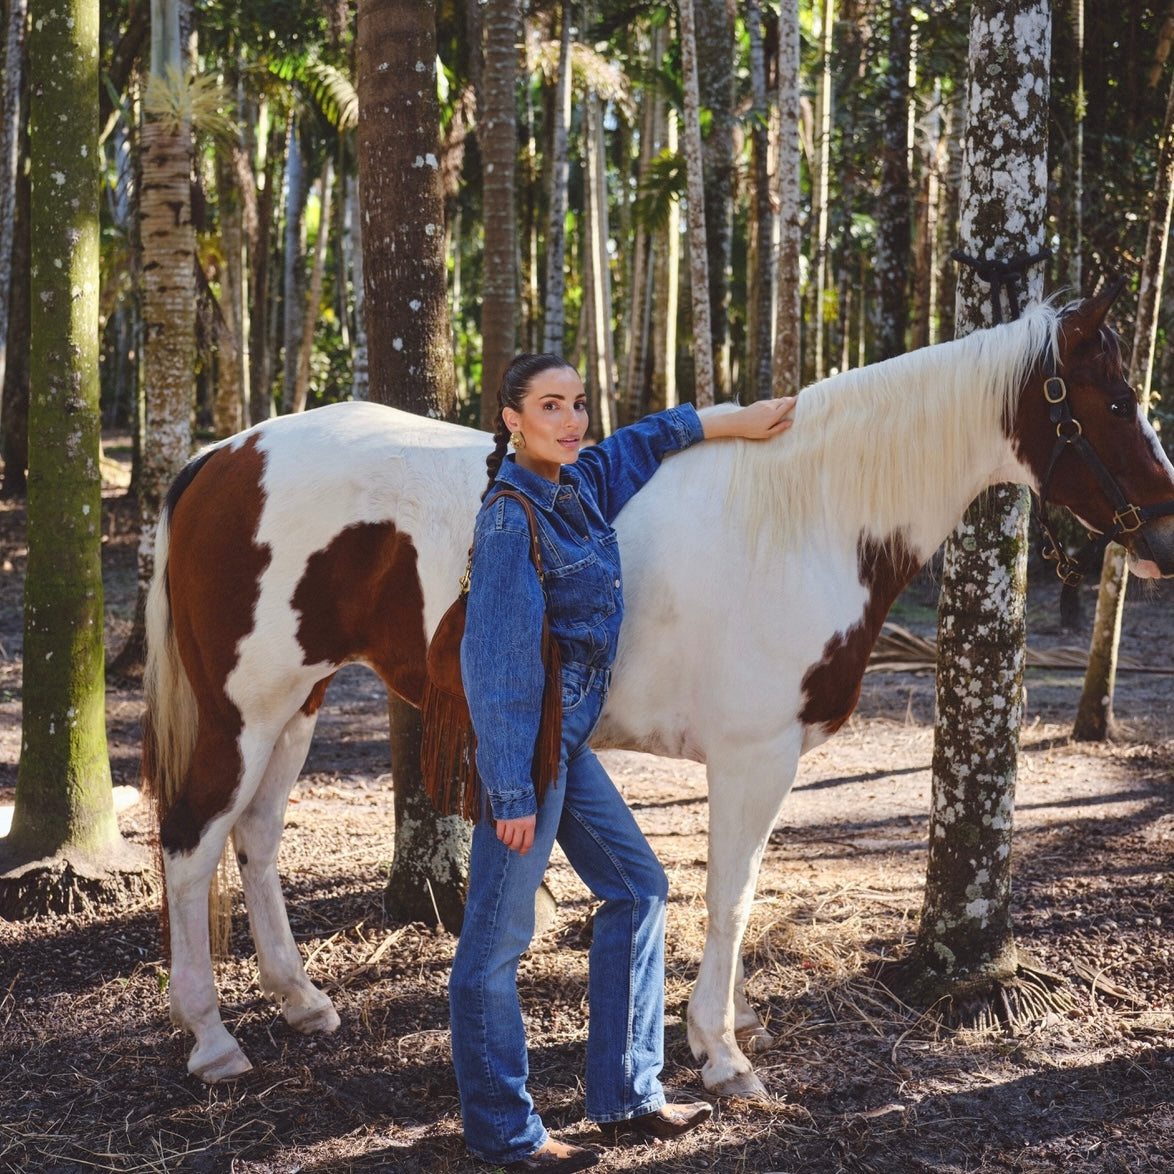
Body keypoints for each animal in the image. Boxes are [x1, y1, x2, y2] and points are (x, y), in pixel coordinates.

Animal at [142, 284, 1174, 1089]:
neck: (806, 517)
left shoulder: (768, 762)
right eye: (1120, 401)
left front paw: (732, 1022)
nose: (1165, 536)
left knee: (256, 838)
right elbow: (730, 894)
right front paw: (721, 1053)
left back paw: (302, 1000)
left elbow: (742, 886)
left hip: (299, 704)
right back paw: (213, 1039)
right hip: (246, 708)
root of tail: (222, 456)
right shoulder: (753, 755)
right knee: (192, 844)